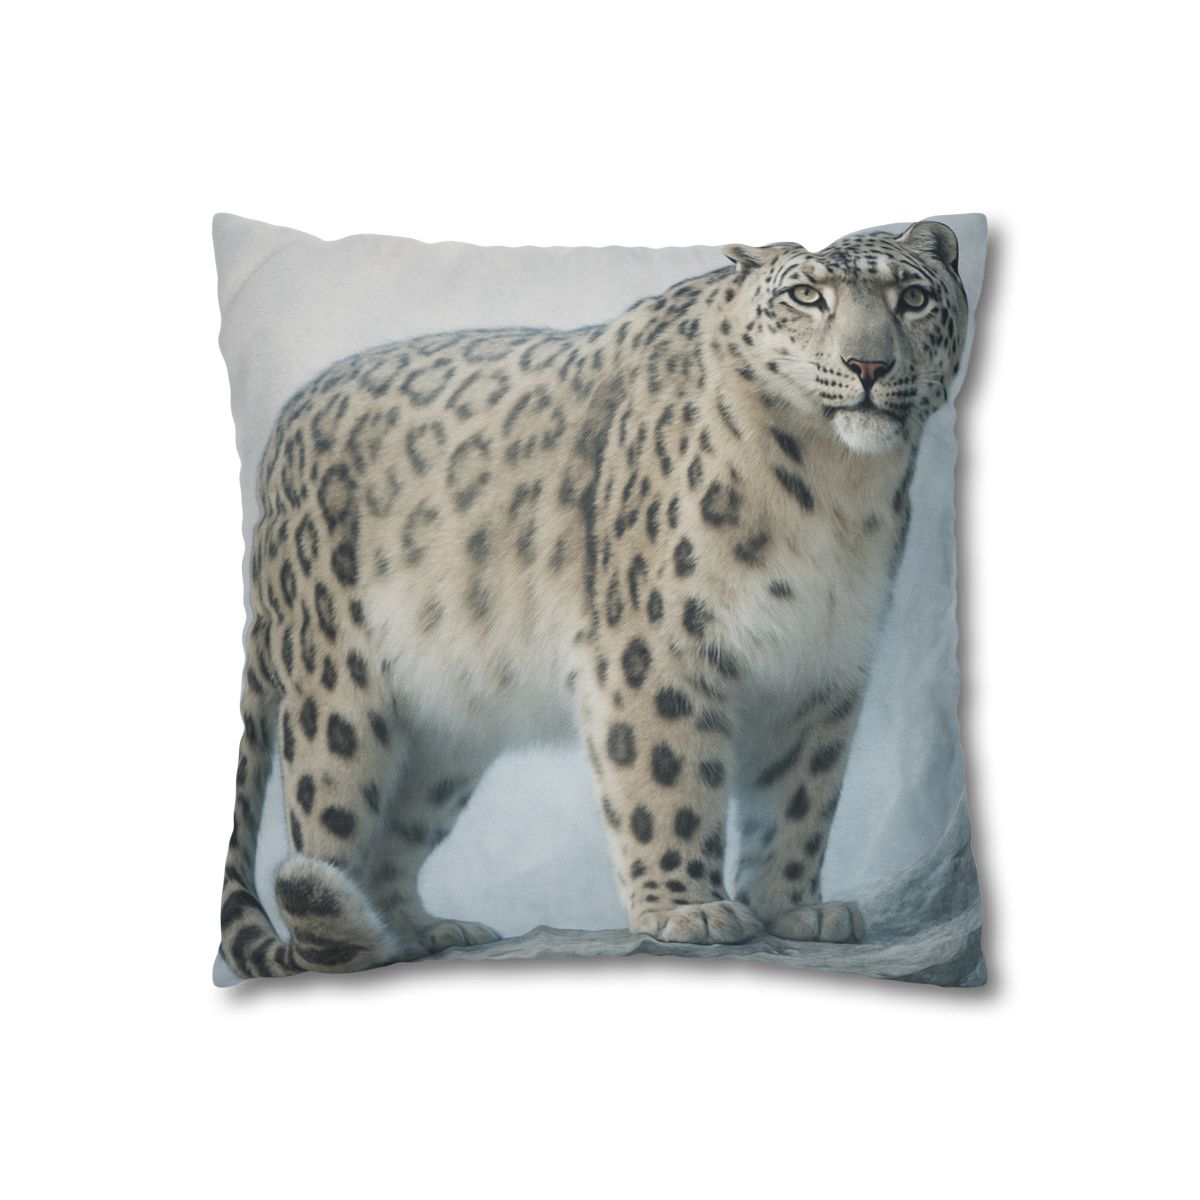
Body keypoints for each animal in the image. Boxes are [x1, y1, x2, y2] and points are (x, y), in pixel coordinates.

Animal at [218, 220, 969, 978]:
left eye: (912, 298)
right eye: (808, 295)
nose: (867, 365)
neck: (837, 492)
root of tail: (277, 443)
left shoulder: (824, 664)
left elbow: (800, 796)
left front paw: (795, 908)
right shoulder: (655, 645)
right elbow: (668, 777)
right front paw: (687, 909)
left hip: (444, 738)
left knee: (392, 839)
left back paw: (423, 932)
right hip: (338, 702)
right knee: (328, 838)